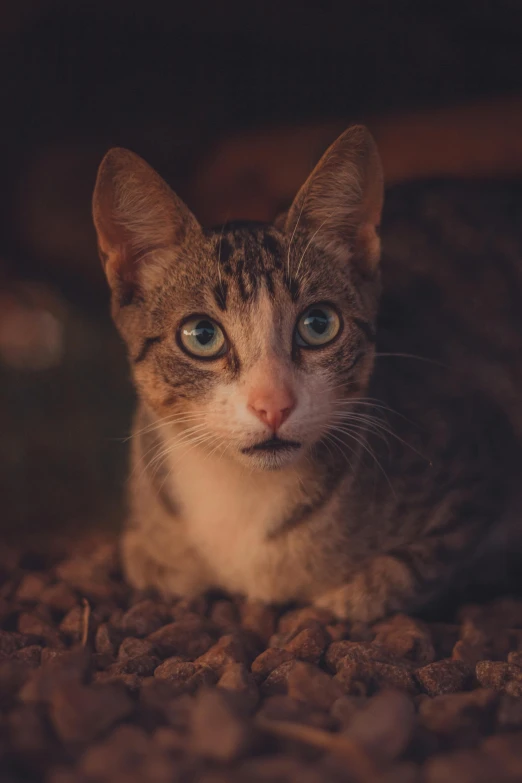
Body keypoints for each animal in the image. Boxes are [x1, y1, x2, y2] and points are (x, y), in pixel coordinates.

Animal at [90, 125, 520, 620]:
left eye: (318, 324)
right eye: (202, 335)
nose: (273, 405)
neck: (244, 492)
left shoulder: (479, 469)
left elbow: (405, 572)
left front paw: (346, 594)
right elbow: (145, 558)